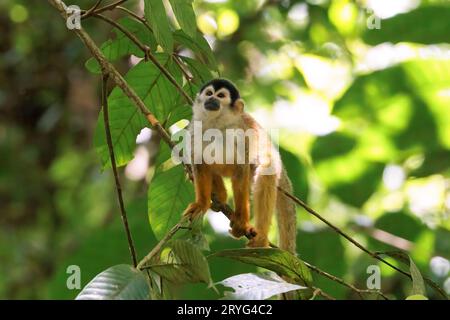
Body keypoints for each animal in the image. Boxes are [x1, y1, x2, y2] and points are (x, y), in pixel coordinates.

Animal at [181, 79, 298, 254]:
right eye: (209, 93)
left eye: (221, 96)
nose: (211, 99)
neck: (217, 125)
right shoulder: (195, 130)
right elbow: (200, 163)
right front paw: (201, 204)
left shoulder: (242, 134)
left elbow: (241, 170)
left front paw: (241, 222)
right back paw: (219, 194)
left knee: (266, 168)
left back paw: (260, 237)